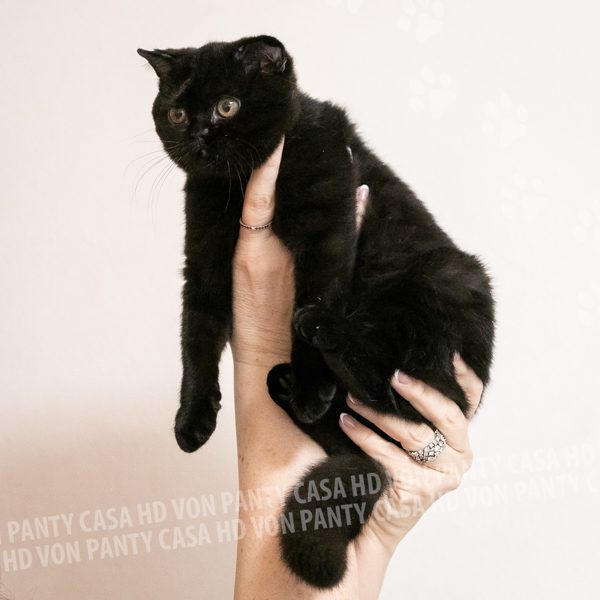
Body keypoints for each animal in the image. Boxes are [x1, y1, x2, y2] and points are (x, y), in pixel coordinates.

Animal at [138, 34, 495, 589]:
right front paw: (192, 417)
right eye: (175, 112)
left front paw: (309, 384)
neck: (237, 186)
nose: (196, 136)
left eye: (227, 107)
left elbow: (316, 293)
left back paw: (319, 349)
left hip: (443, 280)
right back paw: (286, 386)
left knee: (398, 384)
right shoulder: (203, 259)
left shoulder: (327, 229)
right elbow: (195, 336)